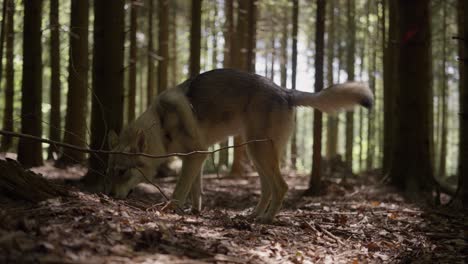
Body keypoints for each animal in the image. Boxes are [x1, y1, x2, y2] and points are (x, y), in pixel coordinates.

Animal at [105, 68, 372, 223]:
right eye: (111, 172)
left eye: (122, 171)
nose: (109, 196)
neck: (160, 124)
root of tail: (285, 91)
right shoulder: (195, 158)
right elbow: (195, 191)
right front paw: (192, 213)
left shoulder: (196, 156)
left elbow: (180, 189)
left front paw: (169, 209)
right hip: (257, 155)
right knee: (268, 188)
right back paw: (254, 214)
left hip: (260, 153)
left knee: (281, 186)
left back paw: (266, 219)